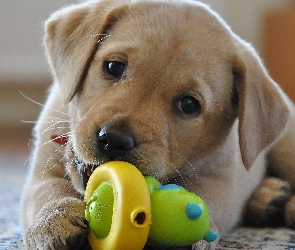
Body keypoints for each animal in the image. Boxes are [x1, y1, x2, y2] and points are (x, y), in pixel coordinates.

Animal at [22, 0, 295, 249]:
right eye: (113, 66)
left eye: (189, 104)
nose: (114, 140)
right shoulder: (42, 169)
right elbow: (47, 191)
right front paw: (53, 220)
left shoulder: (222, 181)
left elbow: (203, 196)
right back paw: (268, 197)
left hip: (287, 147)